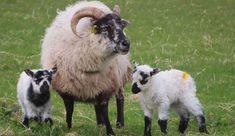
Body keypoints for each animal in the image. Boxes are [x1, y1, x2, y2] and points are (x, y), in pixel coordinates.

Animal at [41, 0, 131, 135]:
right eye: (106, 27)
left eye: (122, 26)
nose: (126, 44)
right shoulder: (65, 88)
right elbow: (69, 110)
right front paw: (68, 128)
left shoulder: (106, 86)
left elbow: (104, 108)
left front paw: (110, 131)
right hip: (95, 84)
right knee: (96, 104)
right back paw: (100, 124)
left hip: (118, 76)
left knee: (120, 98)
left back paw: (119, 124)